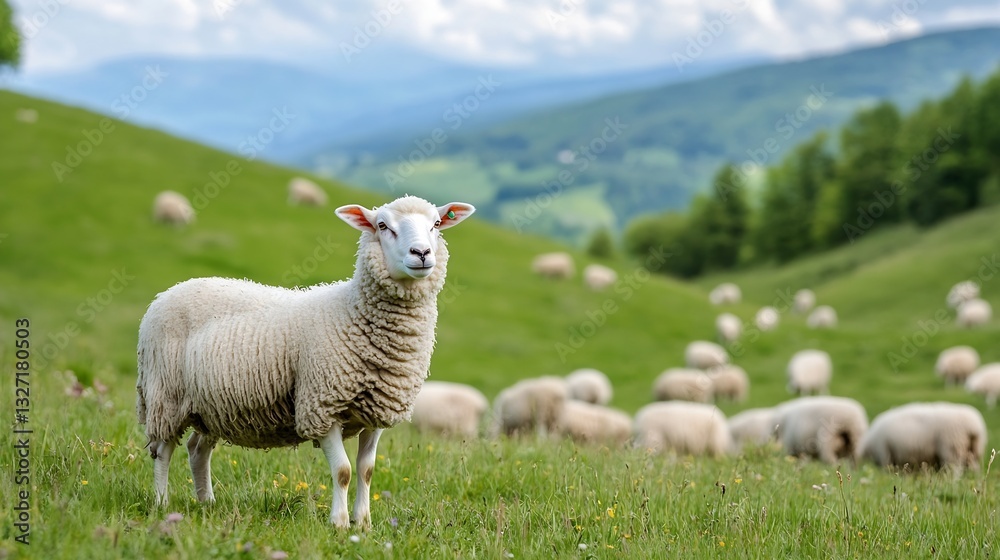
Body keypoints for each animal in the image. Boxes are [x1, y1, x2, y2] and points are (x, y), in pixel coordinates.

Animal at [135, 195, 475, 529]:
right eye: (382, 225)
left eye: (436, 224)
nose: (422, 253)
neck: (352, 312)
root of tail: (168, 292)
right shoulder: (321, 405)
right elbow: (343, 471)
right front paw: (339, 524)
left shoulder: (376, 411)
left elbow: (366, 470)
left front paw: (363, 523)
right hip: (165, 395)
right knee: (163, 450)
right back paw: (161, 503)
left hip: (213, 405)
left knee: (197, 449)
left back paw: (207, 503)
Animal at [858, 402, 986, 473]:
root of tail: (973, 426)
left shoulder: (885, 454)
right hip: (973, 450)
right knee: (973, 468)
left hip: (952, 448)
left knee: (955, 470)